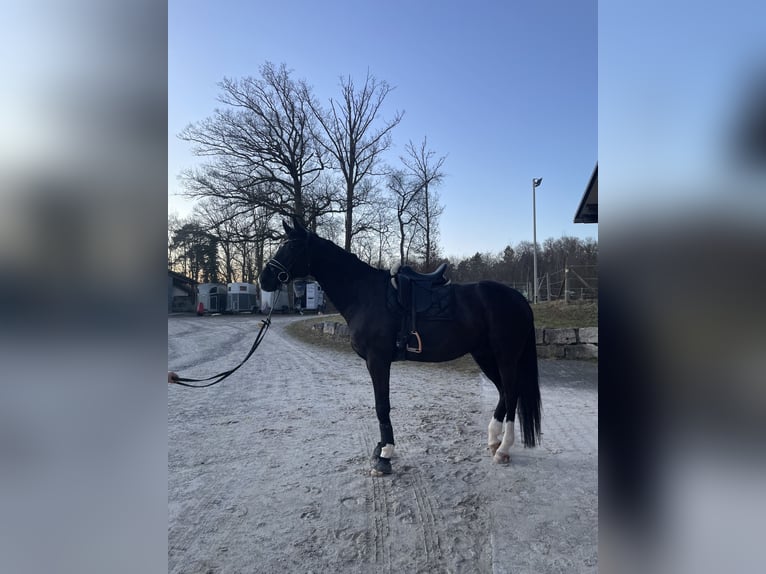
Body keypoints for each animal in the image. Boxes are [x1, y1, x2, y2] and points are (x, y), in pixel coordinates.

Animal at [260, 217, 541, 476]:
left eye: (292, 246)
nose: (264, 279)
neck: (364, 294)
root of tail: (519, 298)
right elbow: (380, 406)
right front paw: (381, 449)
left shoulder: (378, 360)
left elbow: (381, 406)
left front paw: (385, 455)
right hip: (485, 355)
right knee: (504, 392)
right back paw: (493, 441)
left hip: (505, 357)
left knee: (511, 393)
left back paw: (503, 449)